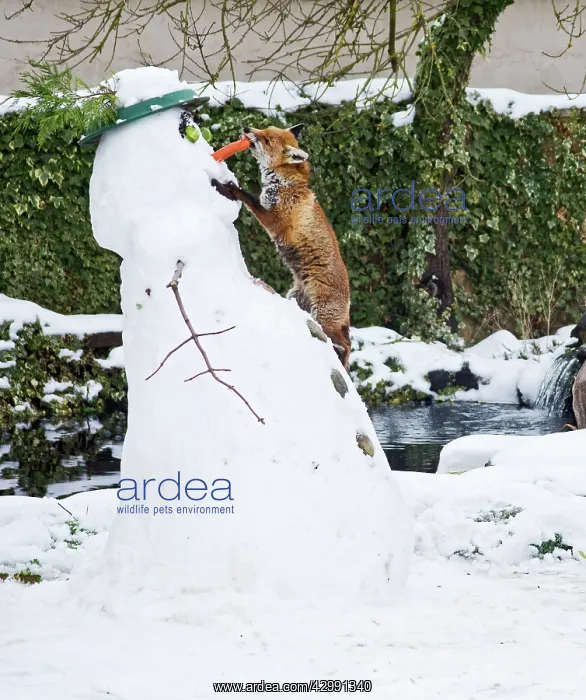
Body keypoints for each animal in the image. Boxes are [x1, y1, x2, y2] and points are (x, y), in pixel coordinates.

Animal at [211, 124, 351, 368]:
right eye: (263, 128)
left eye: (267, 140)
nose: (246, 127)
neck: (286, 184)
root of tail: (349, 303)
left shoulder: (274, 220)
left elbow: (246, 196)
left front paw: (227, 188)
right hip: (297, 300)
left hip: (322, 316)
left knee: (346, 345)